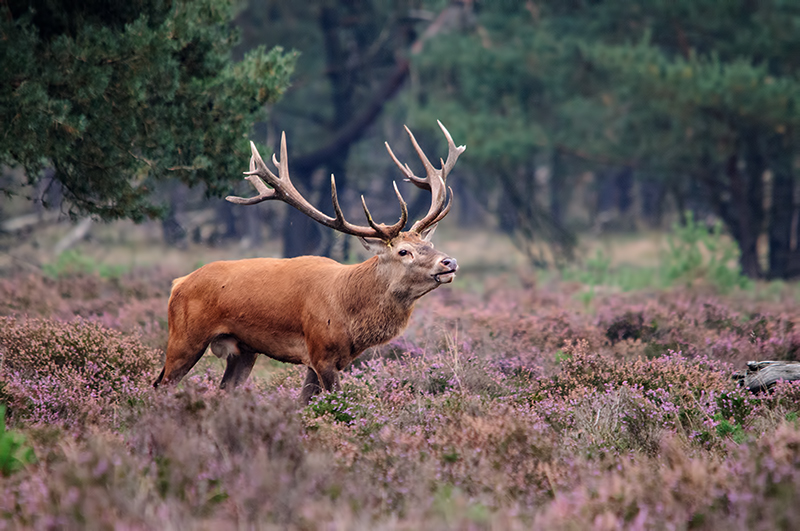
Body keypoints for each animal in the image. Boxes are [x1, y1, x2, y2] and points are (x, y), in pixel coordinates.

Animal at [153, 121, 466, 404]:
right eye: (403, 251)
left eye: (429, 245)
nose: (449, 262)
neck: (349, 312)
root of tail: (178, 283)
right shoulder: (320, 351)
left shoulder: (330, 361)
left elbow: (304, 403)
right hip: (185, 337)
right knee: (159, 385)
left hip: (243, 350)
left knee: (224, 390)